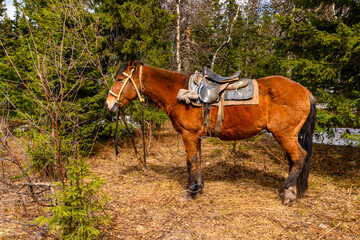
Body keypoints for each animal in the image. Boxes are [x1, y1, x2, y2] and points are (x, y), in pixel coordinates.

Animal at [106, 61, 316, 205]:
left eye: (119, 79)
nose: (109, 103)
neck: (177, 92)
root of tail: (306, 92)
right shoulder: (195, 136)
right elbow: (198, 161)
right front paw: (199, 189)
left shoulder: (188, 134)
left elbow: (190, 163)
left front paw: (190, 193)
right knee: (295, 160)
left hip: (284, 134)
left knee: (299, 157)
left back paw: (288, 193)